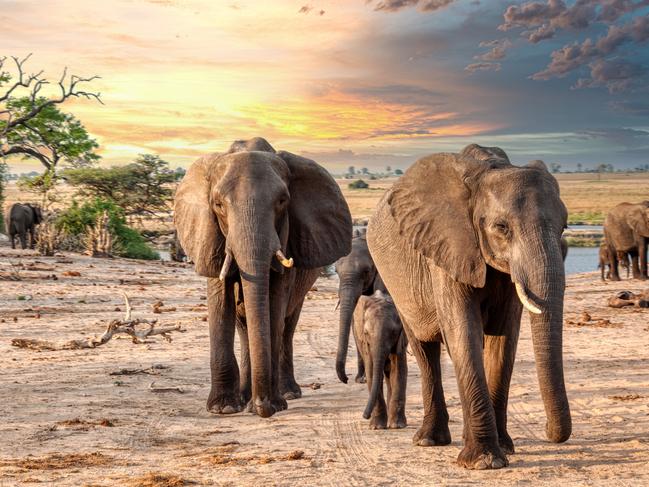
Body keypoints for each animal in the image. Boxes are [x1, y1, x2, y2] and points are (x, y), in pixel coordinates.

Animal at [172, 137, 352, 420]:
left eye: (282, 201)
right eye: (218, 205)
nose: (263, 407)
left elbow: (275, 304)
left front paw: (275, 405)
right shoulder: (211, 237)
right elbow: (221, 301)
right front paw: (224, 409)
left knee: (287, 324)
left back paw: (286, 393)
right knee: (245, 325)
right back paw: (245, 397)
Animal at [352, 292, 408, 428]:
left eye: (393, 332)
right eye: (366, 333)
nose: (365, 416)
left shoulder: (400, 339)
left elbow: (399, 370)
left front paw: (397, 425)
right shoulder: (366, 344)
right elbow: (372, 370)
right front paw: (376, 427)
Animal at [368, 146, 568, 472]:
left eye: (564, 226)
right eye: (502, 227)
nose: (550, 431)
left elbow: (503, 340)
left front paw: (504, 449)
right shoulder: (447, 246)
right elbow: (464, 331)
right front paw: (484, 462)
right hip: (396, 285)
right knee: (424, 349)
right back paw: (429, 440)